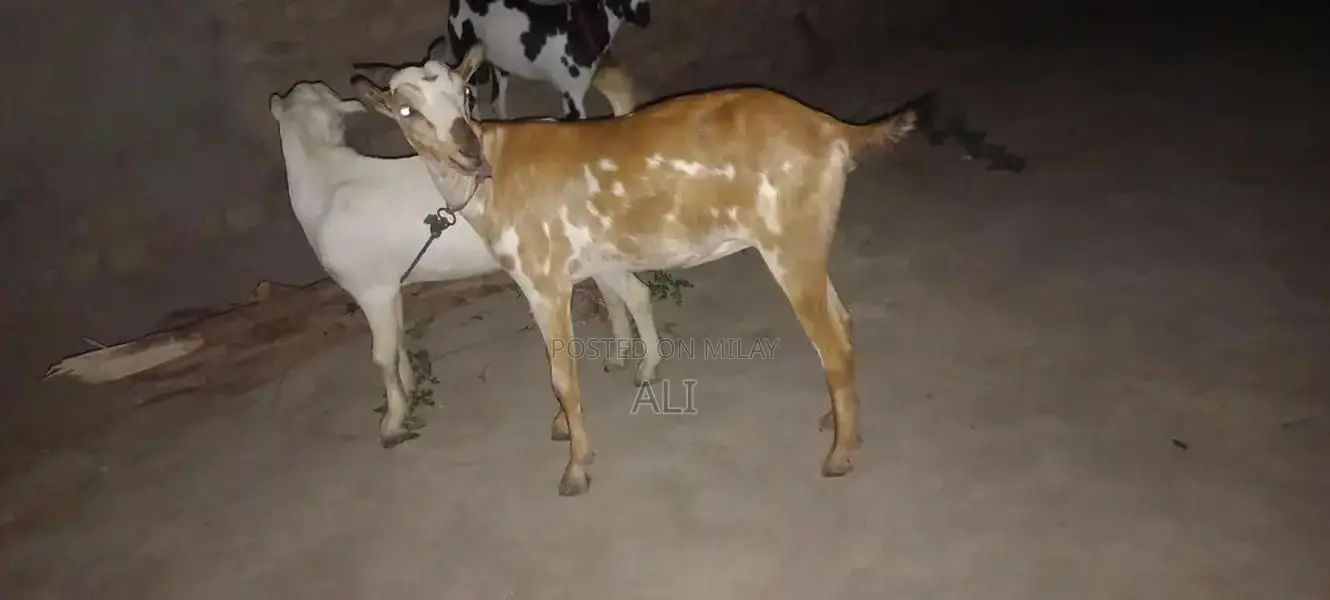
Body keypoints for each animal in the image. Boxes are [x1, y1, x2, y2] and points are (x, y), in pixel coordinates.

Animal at [269, 80, 663, 449]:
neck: (324, 177)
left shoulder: (370, 289)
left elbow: (381, 356)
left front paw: (392, 423)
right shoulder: (392, 284)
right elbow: (397, 342)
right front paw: (408, 386)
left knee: (636, 294)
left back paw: (645, 368)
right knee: (616, 295)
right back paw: (620, 355)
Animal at [350, 48, 929, 496]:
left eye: (467, 94)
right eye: (406, 108)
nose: (469, 153)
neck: (495, 179)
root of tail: (832, 128)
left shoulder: (543, 279)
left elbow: (563, 374)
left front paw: (576, 469)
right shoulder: (592, 262)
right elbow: (616, 312)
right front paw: (572, 421)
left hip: (790, 243)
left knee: (829, 339)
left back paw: (840, 455)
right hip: (807, 240)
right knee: (843, 322)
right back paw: (837, 420)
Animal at [433, 0, 652, 120]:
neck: (585, 26)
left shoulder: (568, 99)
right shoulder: (574, 100)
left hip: (502, 66)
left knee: (497, 102)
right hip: (472, 67)